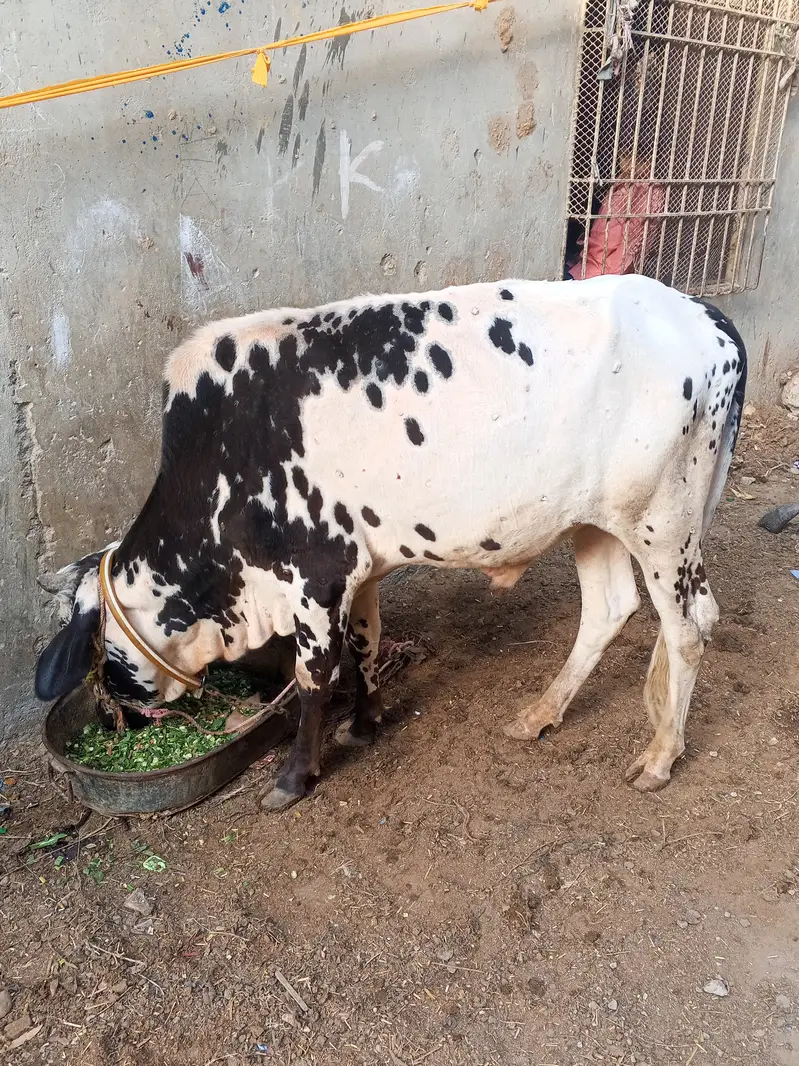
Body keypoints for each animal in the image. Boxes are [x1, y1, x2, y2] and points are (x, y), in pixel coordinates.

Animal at [35, 274, 747, 811]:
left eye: (101, 659)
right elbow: (365, 644)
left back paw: (659, 755)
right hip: (596, 521)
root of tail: (705, 313)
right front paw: (365, 720)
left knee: (689, 627)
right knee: (609, 610)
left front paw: (294, 776)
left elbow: (314, 677)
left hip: (665, 525)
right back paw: (540, 713)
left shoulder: (316, 573)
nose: (116, 722)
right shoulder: (361, 567)